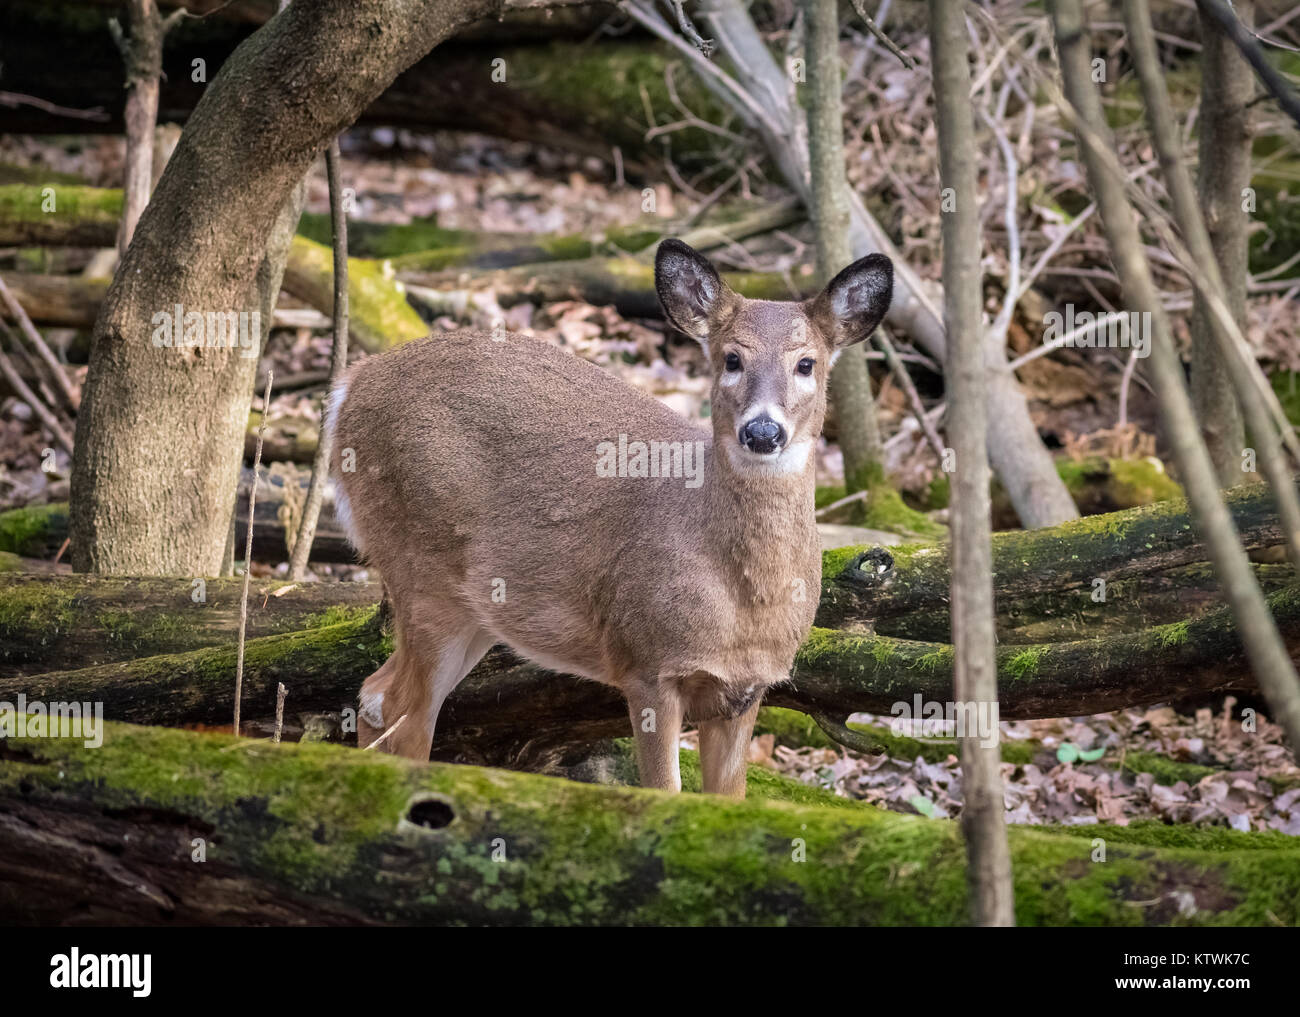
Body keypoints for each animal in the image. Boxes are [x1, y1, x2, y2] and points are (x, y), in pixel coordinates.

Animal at [327, 239, 893, 796]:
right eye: (731, 358)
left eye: (807, 364)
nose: (762, 431)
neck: (743, 603)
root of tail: (348, 387)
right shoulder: (646, 662)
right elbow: (664, 793)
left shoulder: (746, 688)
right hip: (419, 565)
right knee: (399, 707)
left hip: (476, 610)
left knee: (376, 695)